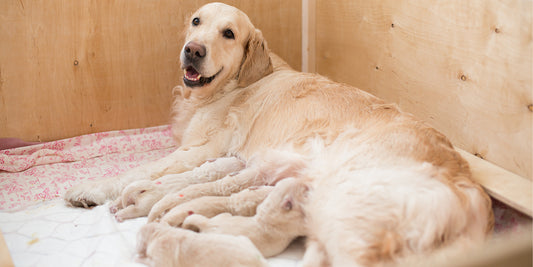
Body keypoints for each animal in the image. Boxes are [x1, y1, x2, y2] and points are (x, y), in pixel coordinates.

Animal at [64, 2, 492, 267]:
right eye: (197, 21)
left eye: (229, 34)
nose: (193, 50)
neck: (233, 84)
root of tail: (471, 195)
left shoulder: (199, 149)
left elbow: (137, 172)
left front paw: (88, 189)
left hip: (346, 208)